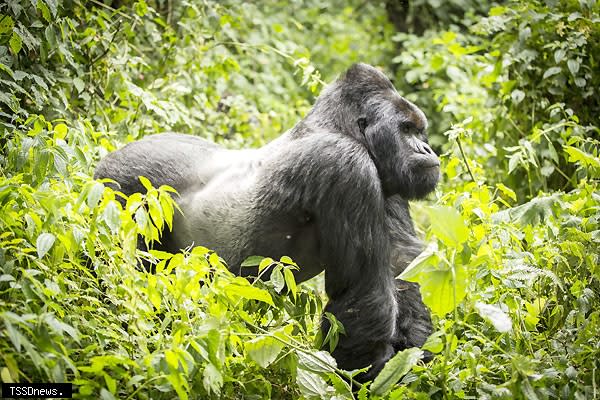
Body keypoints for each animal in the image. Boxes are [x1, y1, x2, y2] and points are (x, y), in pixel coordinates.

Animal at [95, 63, 440, 382]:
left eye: (417, 130)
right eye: (405, 130)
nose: (428, 150)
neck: (336, 127)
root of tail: (108, 157)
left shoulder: (388, 176)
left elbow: (403, 264)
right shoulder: (345, 164)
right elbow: (365, 295)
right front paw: (363, 379)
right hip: (120, 187)